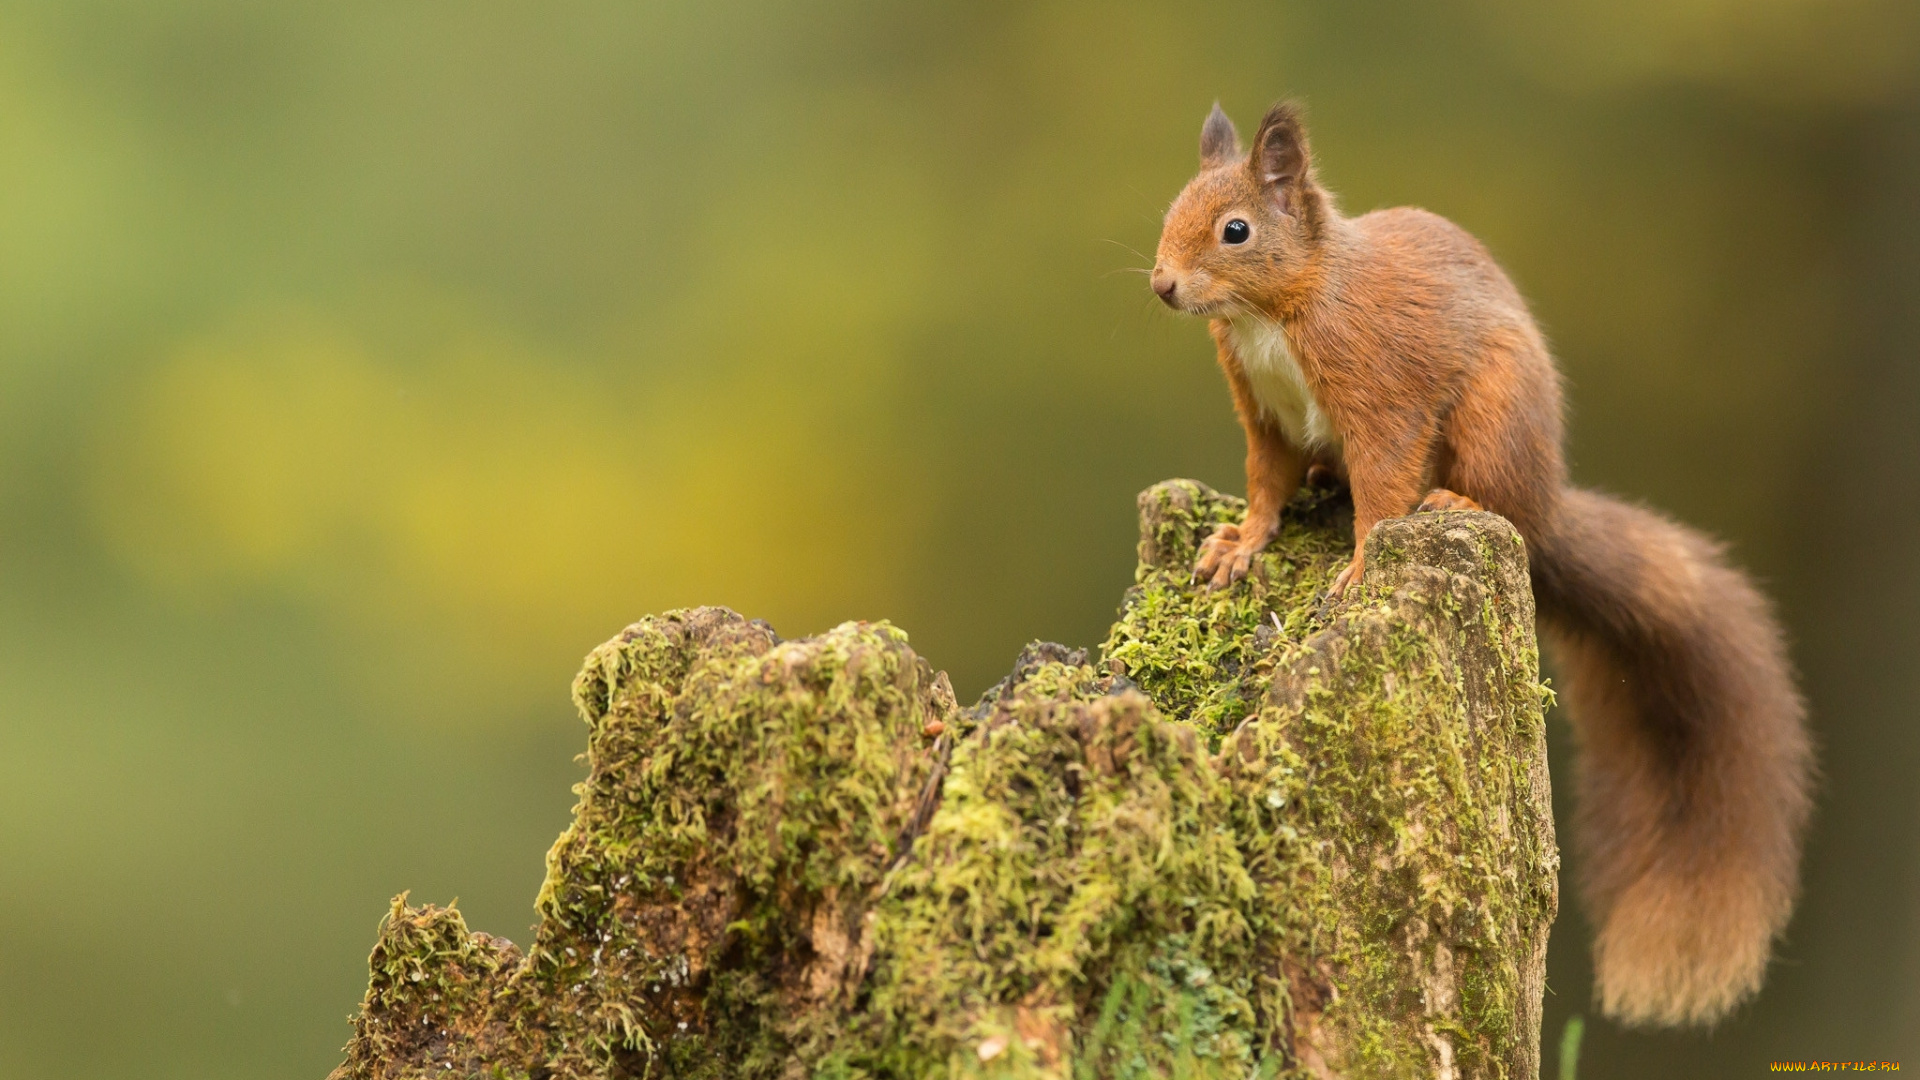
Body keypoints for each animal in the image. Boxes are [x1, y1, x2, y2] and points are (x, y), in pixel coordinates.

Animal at [1152, 100, 1812, 1022]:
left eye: (1235, 230)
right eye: (1172, 209)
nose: (1163, 285)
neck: (1276, 310)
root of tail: (1547, 500)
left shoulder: (1380, 391)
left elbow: (1384, 481)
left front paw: (1361, 563)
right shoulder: (1263, 412)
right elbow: (1263, 483)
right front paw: (1238, 545)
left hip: (1497, 415)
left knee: (1493, 501)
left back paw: (1460, 506)